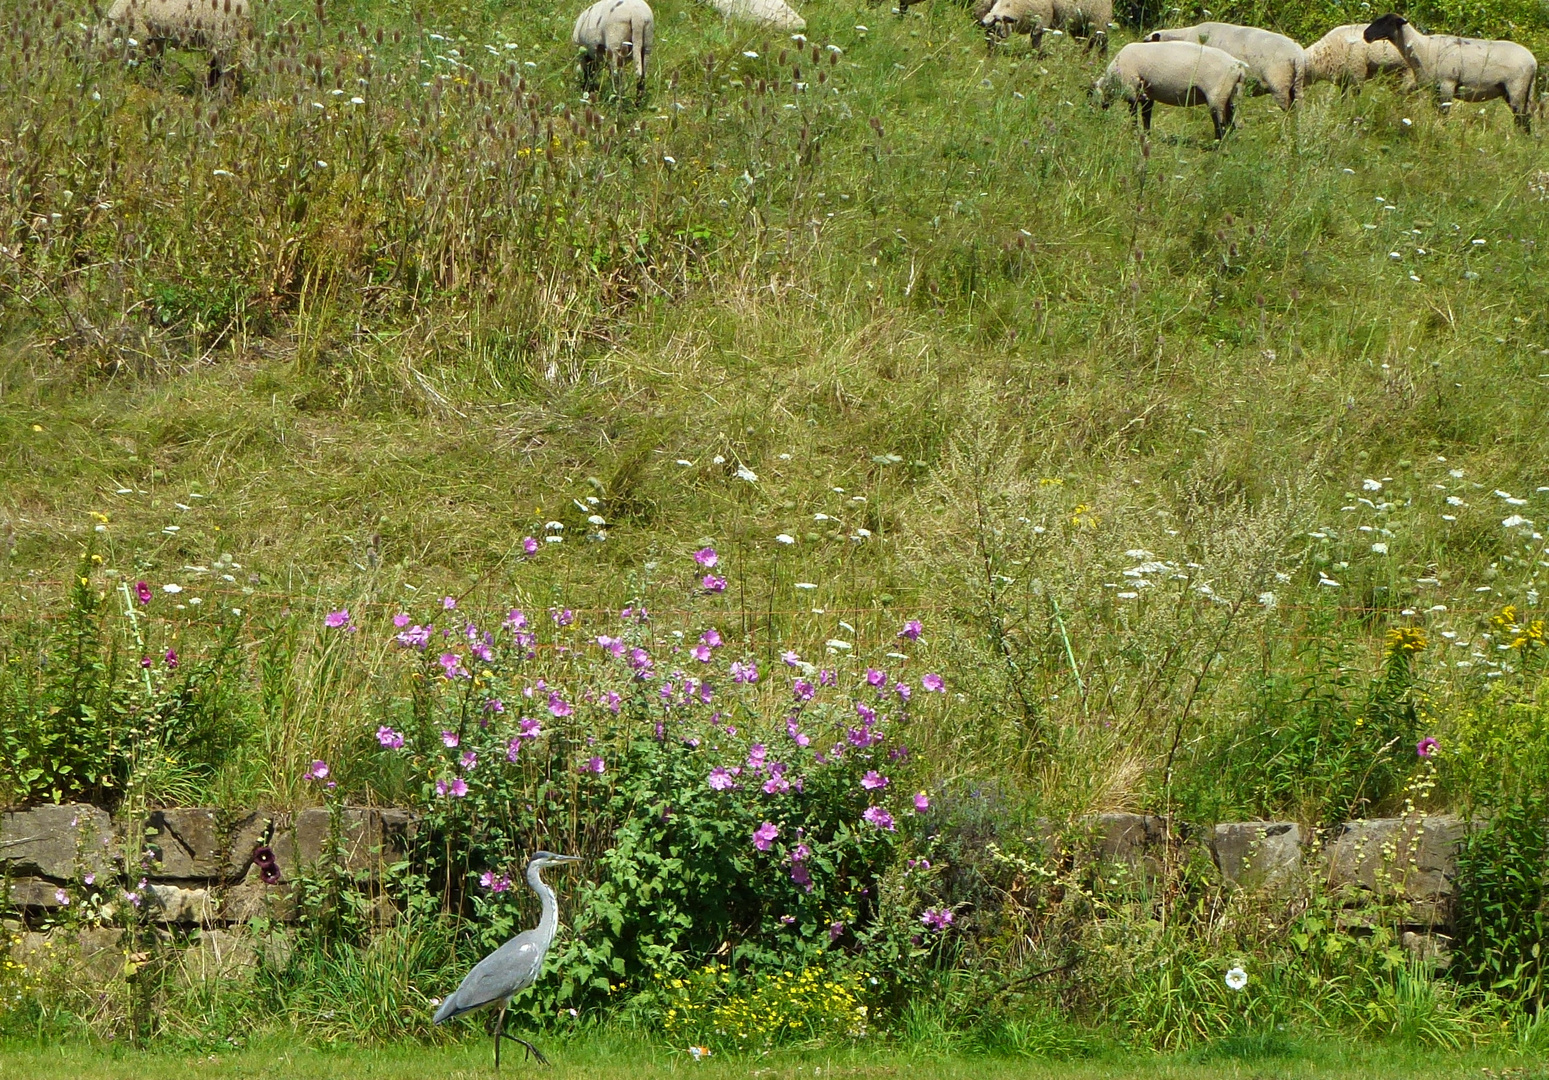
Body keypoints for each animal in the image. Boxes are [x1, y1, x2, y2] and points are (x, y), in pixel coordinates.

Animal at [96, 0, 252, 86]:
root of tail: (245, 8)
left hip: (221, 34)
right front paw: (153, 85)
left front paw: (120, 82)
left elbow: (128, 61)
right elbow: (156, 63)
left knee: (230, 69)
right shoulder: (157, 39)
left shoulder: (139, 34)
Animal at [1369, 12, 1536, 129]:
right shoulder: (1435, 88)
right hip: (1518, 91)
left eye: (1387, 21)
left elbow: (1443, 112)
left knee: (1521, 117)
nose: (1366, 35)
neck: (1422, 48)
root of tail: (1533, 62)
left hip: (1516, 88)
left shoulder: (1446, 84)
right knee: (1525, 117)